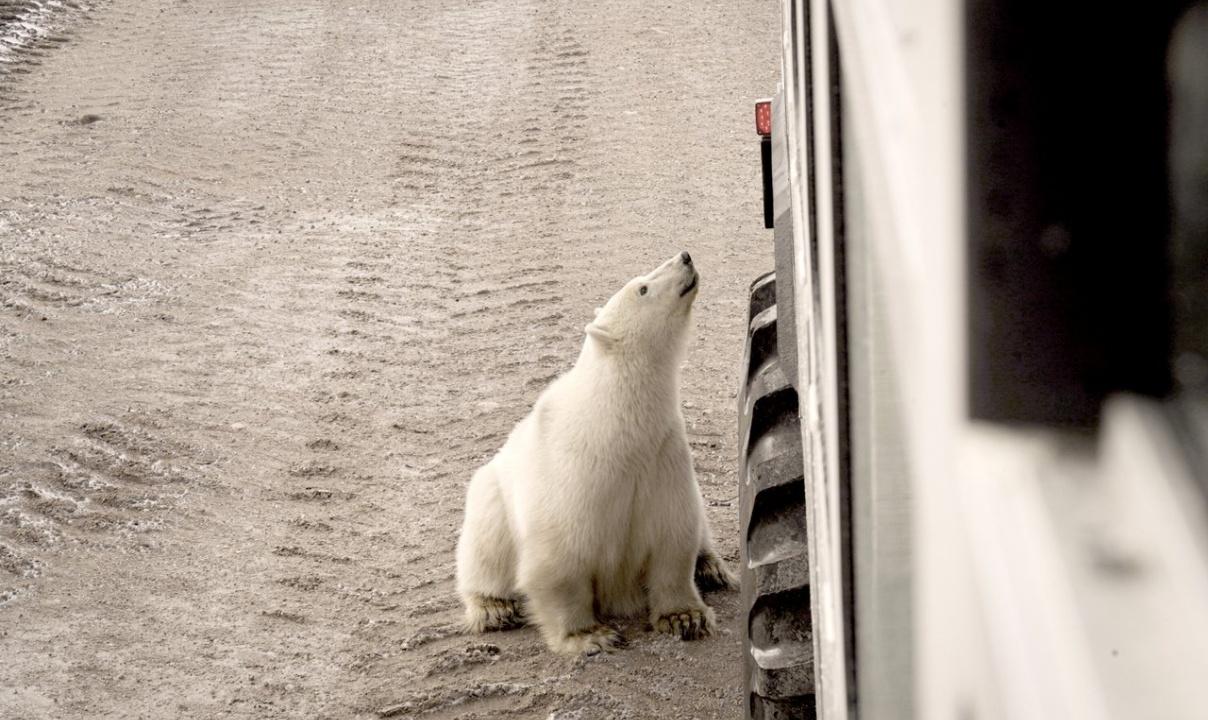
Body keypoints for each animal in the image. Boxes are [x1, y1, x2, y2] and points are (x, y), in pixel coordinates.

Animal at [454, 250, 729, 657]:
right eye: (642, 288)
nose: (685, 256)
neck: (616, 427)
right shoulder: (576, 474)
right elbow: (560, 560)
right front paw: (590, 636)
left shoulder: (663, 460)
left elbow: (673, 537)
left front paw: (686, 617)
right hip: (489, 502)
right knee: (484, 554)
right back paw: (493, 609)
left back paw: (711, 568)